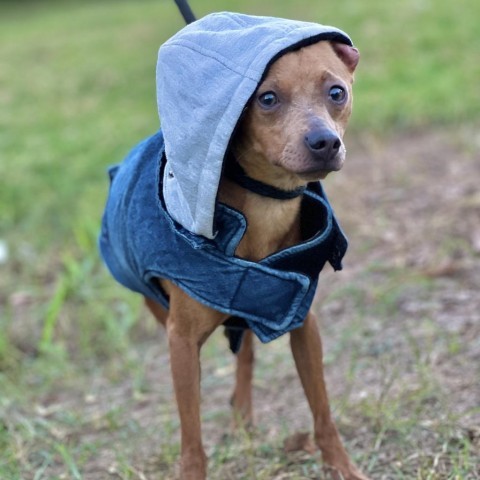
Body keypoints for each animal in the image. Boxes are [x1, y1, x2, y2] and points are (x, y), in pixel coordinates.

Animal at [144, 40, 366, 480]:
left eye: (337, 92)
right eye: (266, 98)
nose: (324, 142)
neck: (265, 207)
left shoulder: (300, 321)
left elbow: (322, 411)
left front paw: (341, 466)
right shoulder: (181, 342)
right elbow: (192, 441)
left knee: (244, 352)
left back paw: (242, 415)